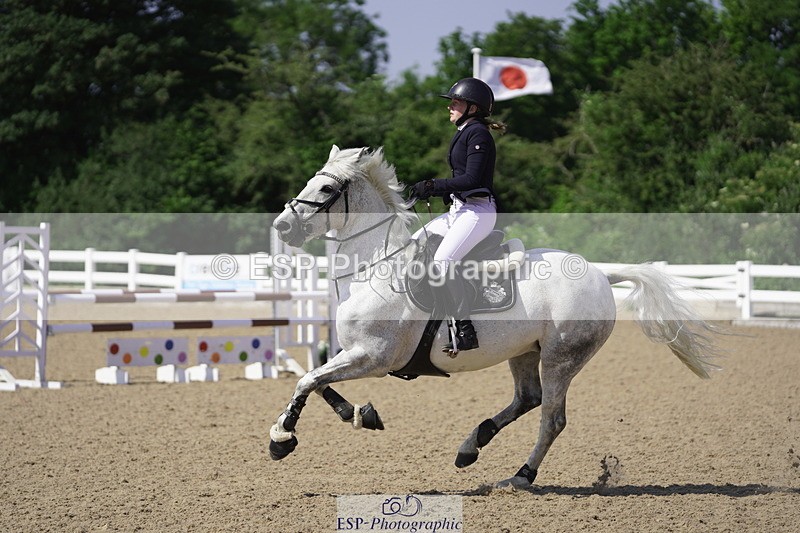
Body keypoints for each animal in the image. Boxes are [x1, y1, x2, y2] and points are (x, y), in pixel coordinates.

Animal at [269, 145, 720, 488]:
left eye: (326, 187)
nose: (282, 227)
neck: (375, 268)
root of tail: (600, 274)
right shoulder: (352, 352)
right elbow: (314, 379)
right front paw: (359, 414)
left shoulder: (374, 357)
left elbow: (308, 381)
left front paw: (281, 437)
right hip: (525, 351)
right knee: (527, 398)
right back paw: (472, 446)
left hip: (561, 358)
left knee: (551, 418)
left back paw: (521, 475)